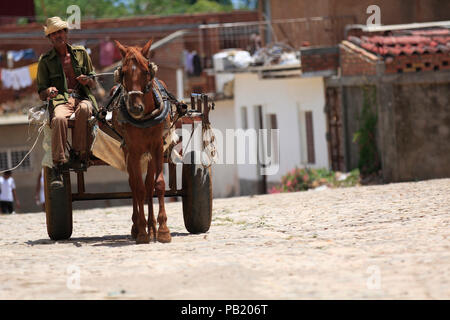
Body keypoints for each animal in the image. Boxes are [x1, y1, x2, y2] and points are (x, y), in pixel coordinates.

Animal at [112, 39, 171, 245]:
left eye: (146, 71)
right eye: (123, 72)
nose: (135, 108)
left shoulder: (157, 147)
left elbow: (157, 184)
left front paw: (162, 229)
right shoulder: (134, 150)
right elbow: (137, 188)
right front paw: (142, 231)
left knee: (148, 185)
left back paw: (152, 226)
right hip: (128, 153)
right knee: (135, 185)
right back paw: (138, 226)